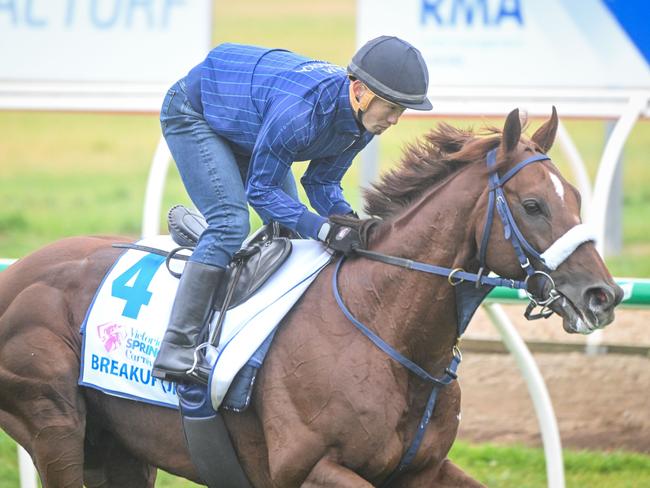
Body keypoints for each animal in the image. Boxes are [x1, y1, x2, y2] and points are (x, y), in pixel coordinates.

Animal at [0, 108, 616, 486]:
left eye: (576, 197)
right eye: (533, 205)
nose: (603, 295)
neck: (387, 330)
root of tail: (16, 274)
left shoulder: (421, 470)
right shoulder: (307, 467)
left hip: (121, 450)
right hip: (56, 425)